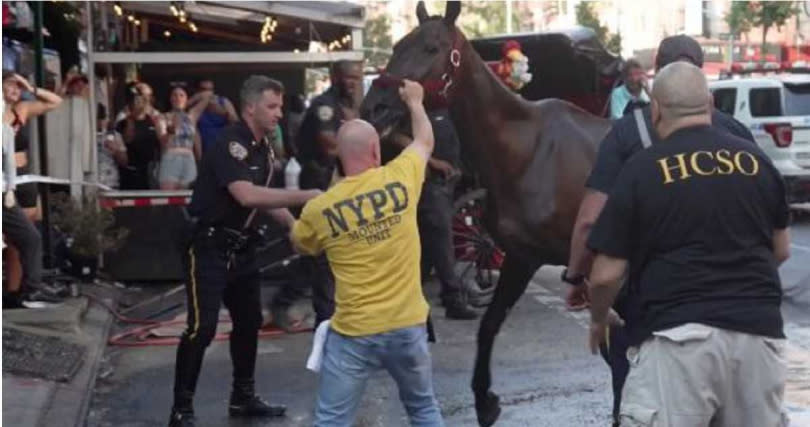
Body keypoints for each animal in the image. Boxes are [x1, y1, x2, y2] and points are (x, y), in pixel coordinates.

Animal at [362, 1, 608, 426]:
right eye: (396, 46)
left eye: (432, 48)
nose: (374, 106)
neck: (528, 150)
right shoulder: (521, 256)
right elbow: (489, 326)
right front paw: (484, 399)